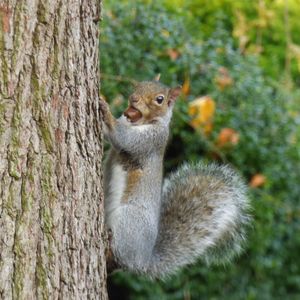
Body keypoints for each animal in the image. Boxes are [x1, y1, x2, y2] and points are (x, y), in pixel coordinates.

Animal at [99, 76, 250, 278]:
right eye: (138, 85)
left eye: (160, 99)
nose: (134, 99)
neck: (138, 122)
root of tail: (143, 261)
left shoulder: (151, 141)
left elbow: (122, 138)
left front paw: (105, 108)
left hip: (129, 219)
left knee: (119, 255)